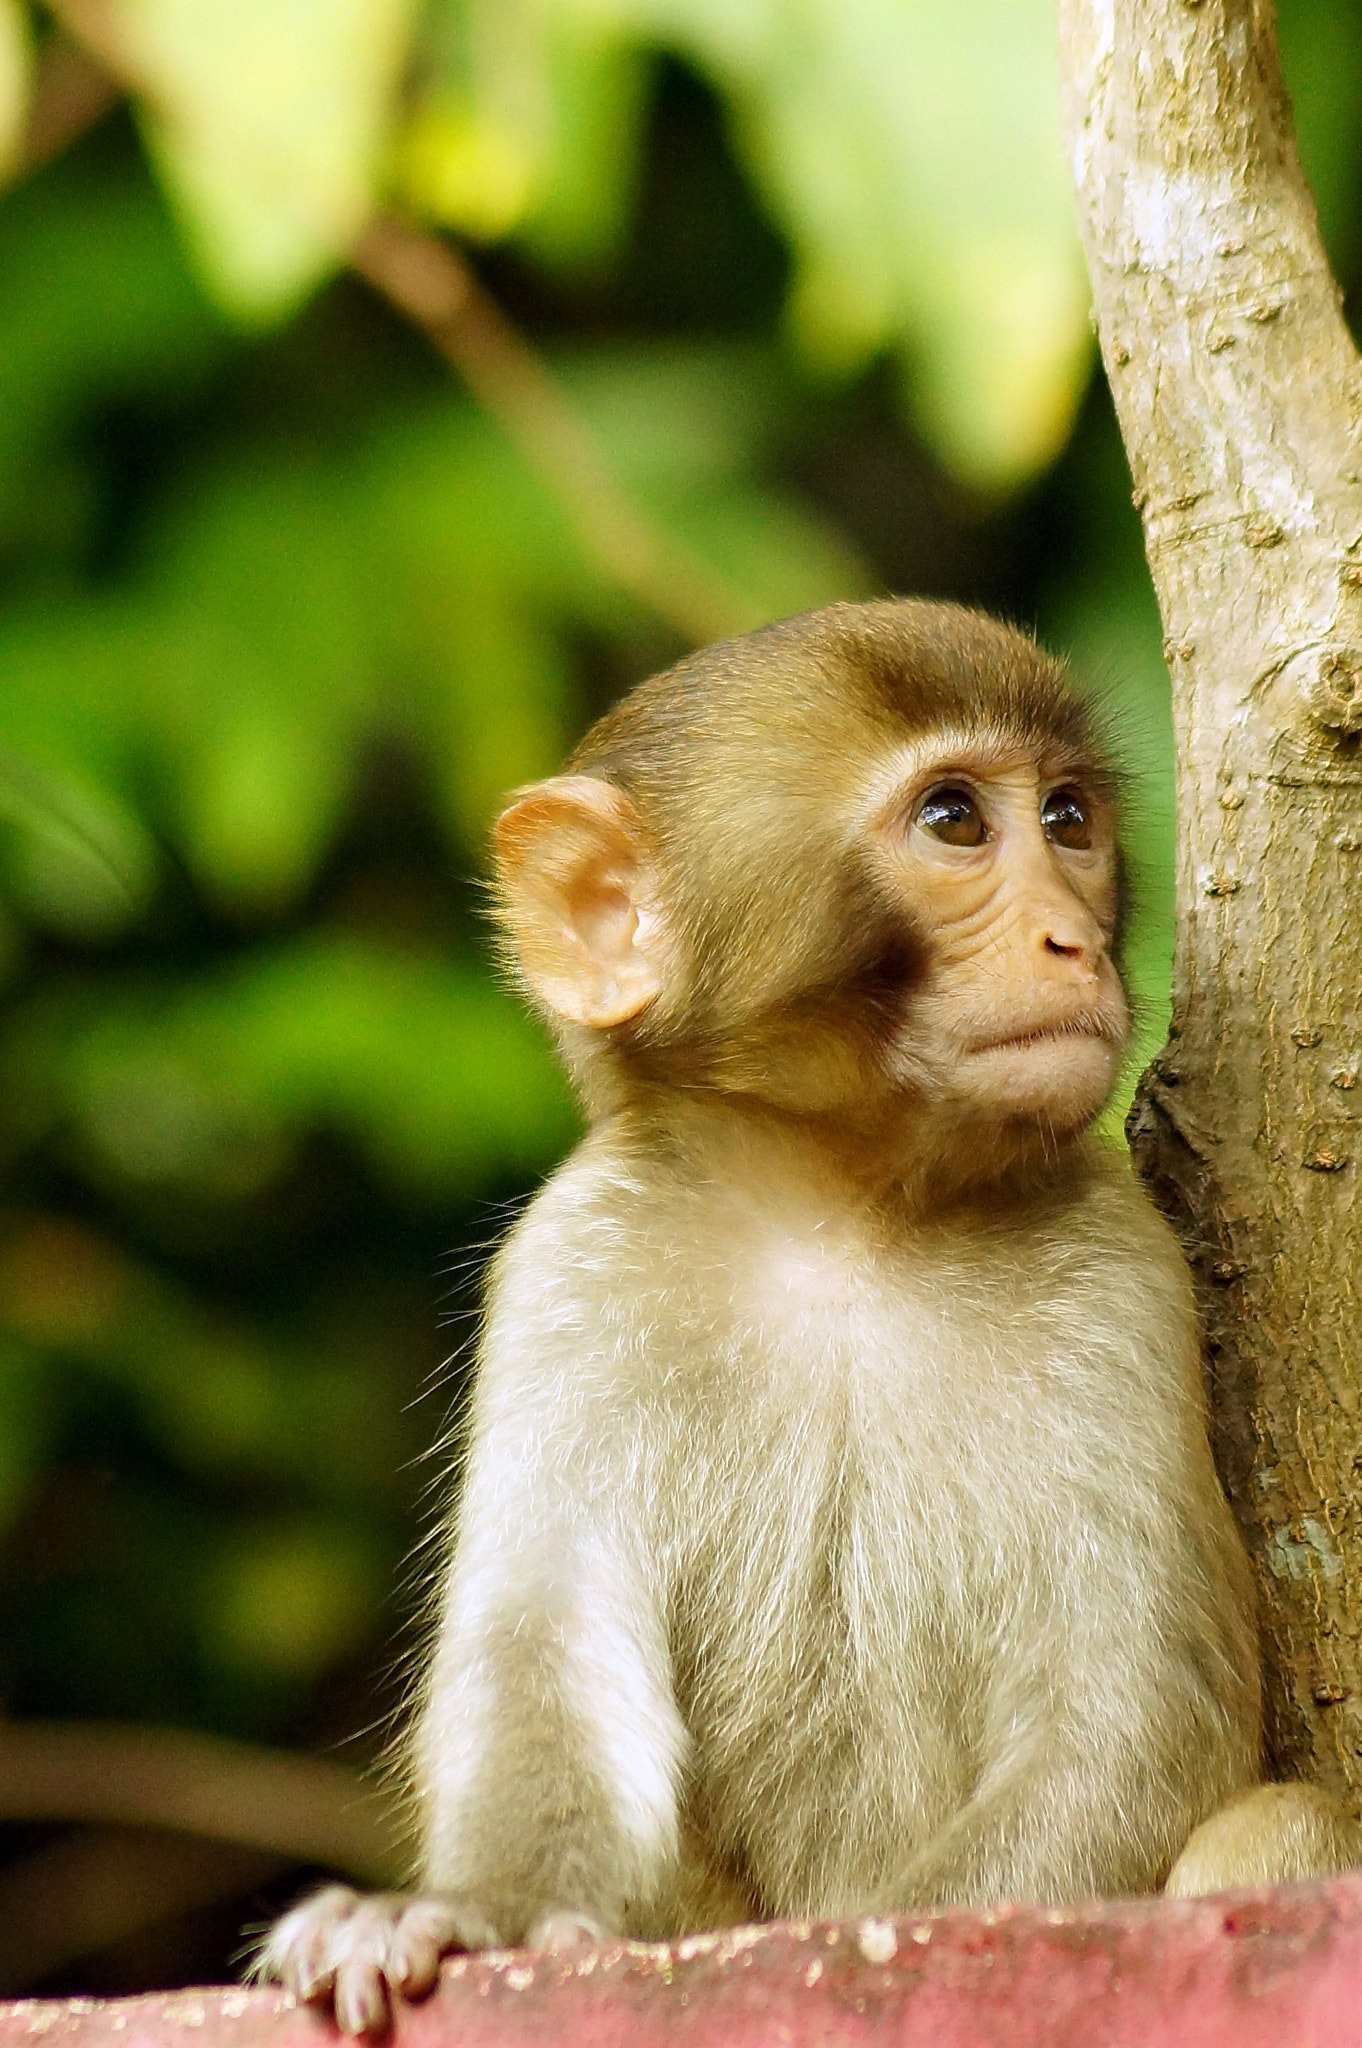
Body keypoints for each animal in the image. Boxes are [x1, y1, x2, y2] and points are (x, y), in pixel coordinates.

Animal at [260, 598, 1351, 2031]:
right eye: (953, 818)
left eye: (1068, 817)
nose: (1070, 937)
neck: (844, 1214)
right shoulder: (573, 1260)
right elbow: (552, 1655)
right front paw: (465, 1910)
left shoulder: (1119, 1268)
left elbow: (1126, 1725)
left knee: (1277, 1828)